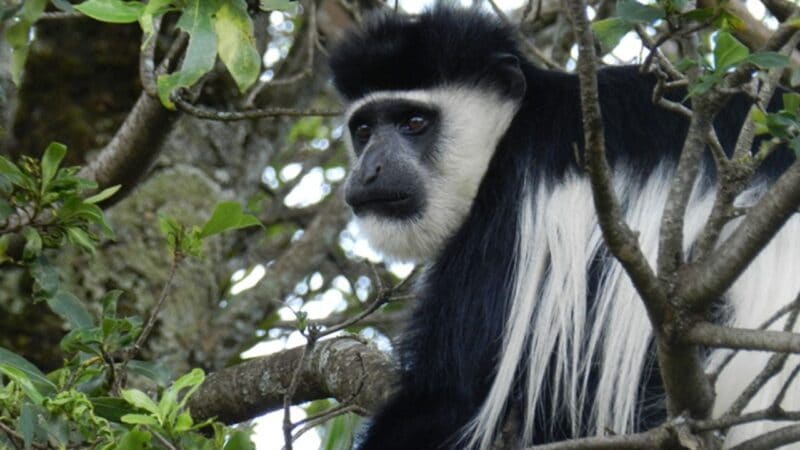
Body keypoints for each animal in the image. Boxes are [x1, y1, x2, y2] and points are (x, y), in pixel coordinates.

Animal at [328, 6, 799, 449]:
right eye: (364, 130)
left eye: (414, 123)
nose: (369, 172)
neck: (515, 124)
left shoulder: (513, 207)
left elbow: (452, 395)